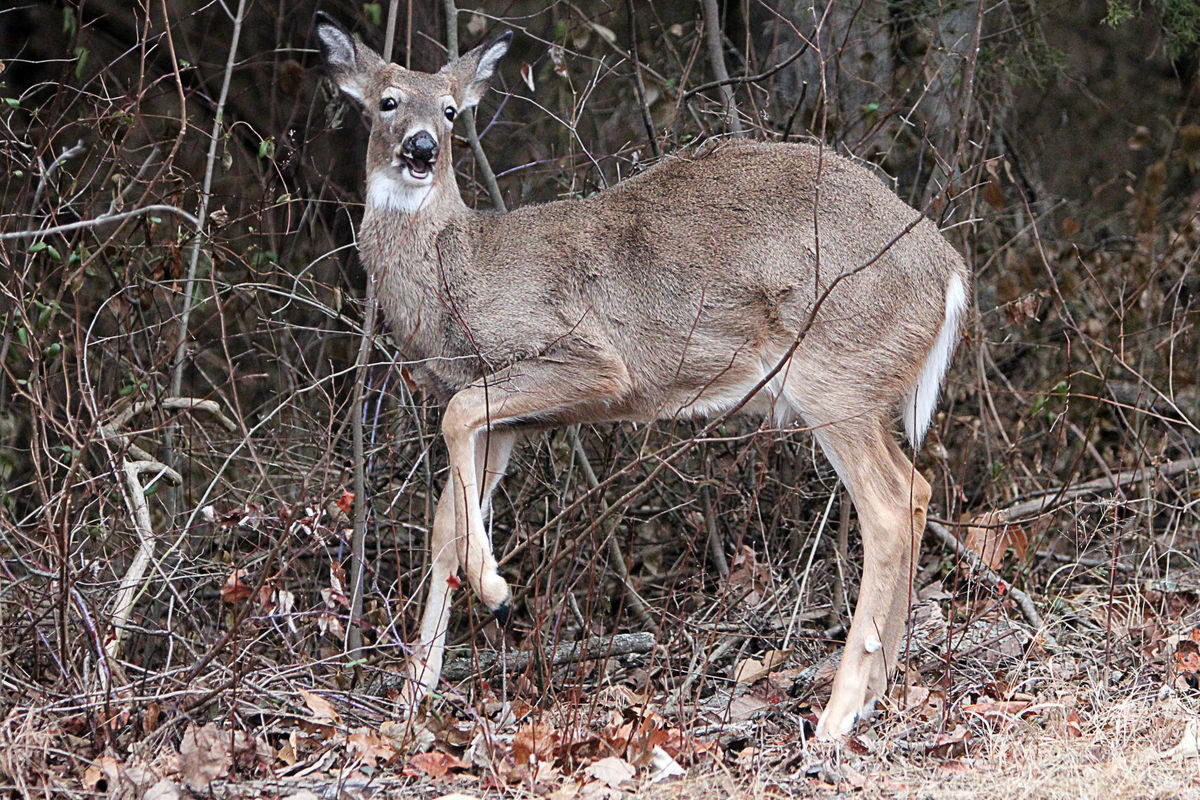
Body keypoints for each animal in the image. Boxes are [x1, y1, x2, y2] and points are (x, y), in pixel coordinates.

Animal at [314, 13, 970, 739]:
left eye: (453, 111)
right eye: (388, 101)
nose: (424, 147)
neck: (455, 272)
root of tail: (949, 272)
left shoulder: (588, 361)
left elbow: (456, 427)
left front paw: (498, 592)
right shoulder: (506, 420)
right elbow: (445, 529)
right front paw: (407, 708)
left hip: (836, 372)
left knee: (887, 504)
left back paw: (839, 712)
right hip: (864, 386)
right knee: (917, 490)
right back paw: (878, 692)